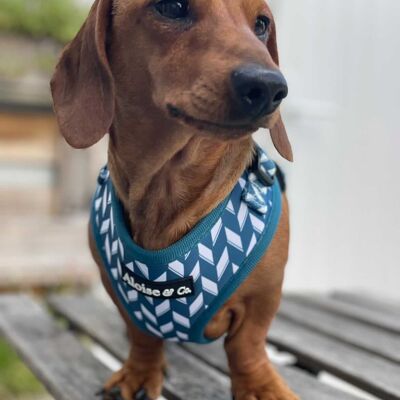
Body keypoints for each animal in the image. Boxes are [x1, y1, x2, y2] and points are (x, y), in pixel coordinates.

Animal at [50, 0, 296, 400]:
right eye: (172, 6)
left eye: (261, 25)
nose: (269, 86)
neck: (168, 184)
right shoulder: (118, 291)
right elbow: (142, 336)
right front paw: (140, 372)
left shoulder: (264, 294)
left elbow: (247, 346)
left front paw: (260, 386)